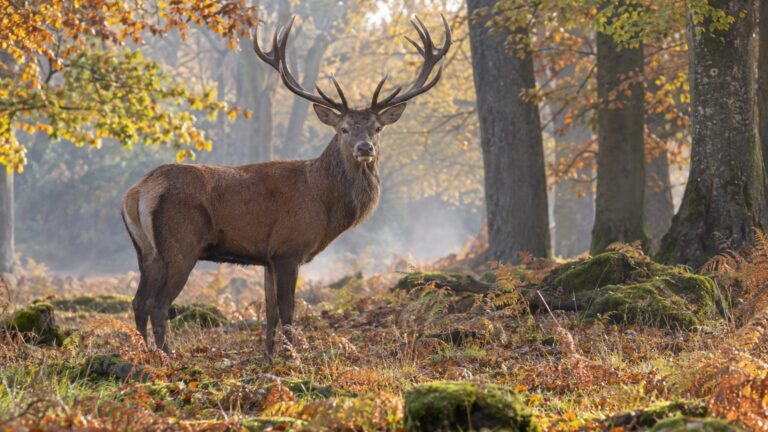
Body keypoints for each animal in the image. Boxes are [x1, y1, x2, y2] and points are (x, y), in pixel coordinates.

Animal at [121, 15, 451, 358]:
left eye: (377, 128)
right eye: (344, 128)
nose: (365, 148)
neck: (324, 202)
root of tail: (139, 191)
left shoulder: (267, 256)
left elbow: (270, 312)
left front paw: (268, 356)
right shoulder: (289, 248)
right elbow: (289, 310)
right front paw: (294, 356)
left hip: (146, 251)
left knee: (138, 302)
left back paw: (143, 353)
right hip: (180, 245)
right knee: (158, 305)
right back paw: (167, 356)